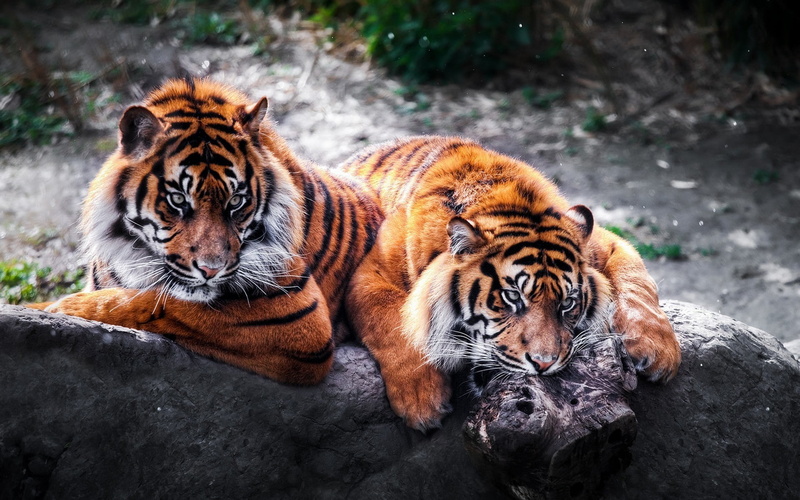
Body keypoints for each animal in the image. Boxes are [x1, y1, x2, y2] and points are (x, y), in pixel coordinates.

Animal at [29, 78, 382, 385]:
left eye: (236, 201)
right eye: (178, 200)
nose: (211, 270)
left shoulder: (298, 314)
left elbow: (153, 302)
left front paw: (65, 308)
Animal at [340, 136, 681, 431]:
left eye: (567, 303)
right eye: (511, 297)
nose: (543, 364)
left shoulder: (607, 243)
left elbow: (637, 281)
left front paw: (658, 350)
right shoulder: (368, 274)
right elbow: (395, 323)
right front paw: (422, 400)